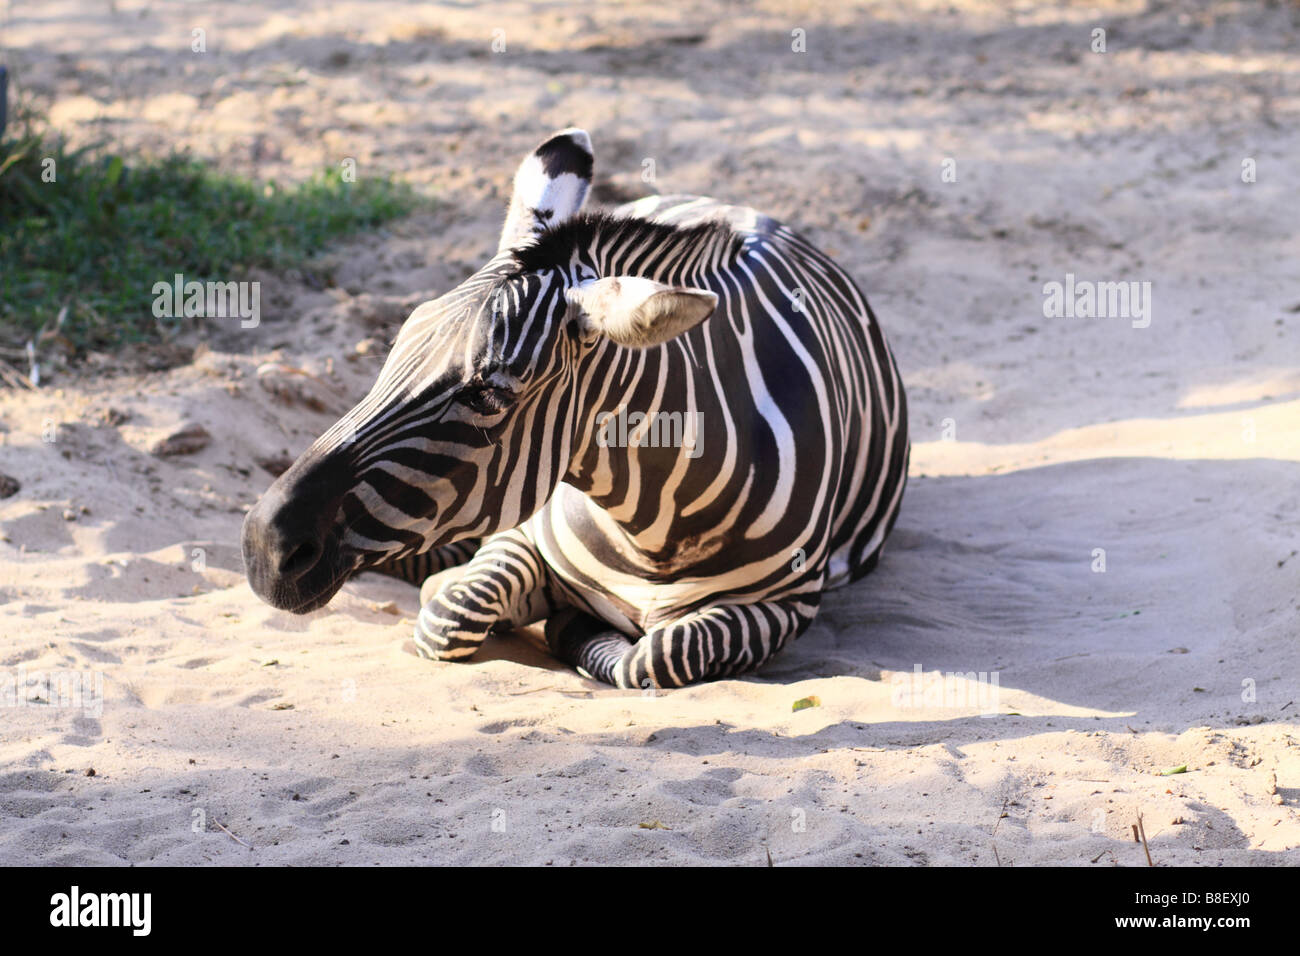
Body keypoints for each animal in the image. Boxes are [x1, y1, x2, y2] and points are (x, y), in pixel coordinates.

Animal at [242, 128, 909, 689]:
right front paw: (472, 594)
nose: (262, 546)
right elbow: (452, 615)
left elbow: (658, 655)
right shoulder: (519, 537)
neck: (653, 527)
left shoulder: (784, 604)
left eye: (487, 393)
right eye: (394, 348)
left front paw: (576, 629)